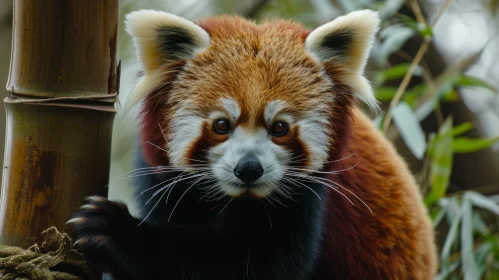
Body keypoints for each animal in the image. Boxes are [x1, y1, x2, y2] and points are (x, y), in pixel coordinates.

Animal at [69, 8, 438, 280]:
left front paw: (117, 232)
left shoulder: (311, 196)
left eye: (280, 128)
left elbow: (255, 264)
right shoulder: (159, 178)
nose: (249, 168)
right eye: (221, 125)